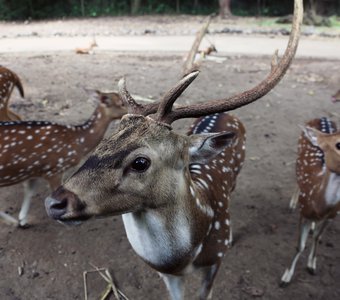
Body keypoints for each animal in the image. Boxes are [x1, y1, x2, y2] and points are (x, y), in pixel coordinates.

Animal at [0, 89, 127, 227]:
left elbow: (29, 191)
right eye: (121, 103)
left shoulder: (34, 170)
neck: (78, 142)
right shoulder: (54, 169)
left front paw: (23, 220)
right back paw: (11, 221)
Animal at [43, 1, 302, 298]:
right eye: (103, 141)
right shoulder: (165, 274)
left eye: (140, 162)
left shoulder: (216, 261)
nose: (54, 203)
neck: (185, 258)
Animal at [280, 116, 340, 286]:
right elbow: (299, 246)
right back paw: (293, 203)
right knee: (296, 178)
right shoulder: (304, 213)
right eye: (338, 144)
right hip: (298, 154)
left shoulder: (333, 216)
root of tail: (323, 117)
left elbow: (318, 237)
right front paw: (286, 277)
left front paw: (312, 265)